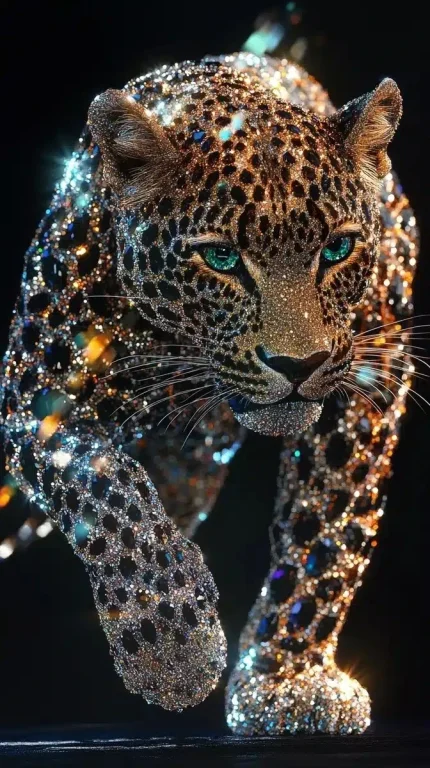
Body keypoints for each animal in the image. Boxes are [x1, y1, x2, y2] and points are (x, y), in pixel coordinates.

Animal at [0, 53, 418, 733]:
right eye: (221, 259)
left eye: (337, 248)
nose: (298, 364)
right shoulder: (35, 401)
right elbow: (109, 493)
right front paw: (174, 648)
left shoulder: (371, 383)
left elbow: (328, 530)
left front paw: (286, 682)